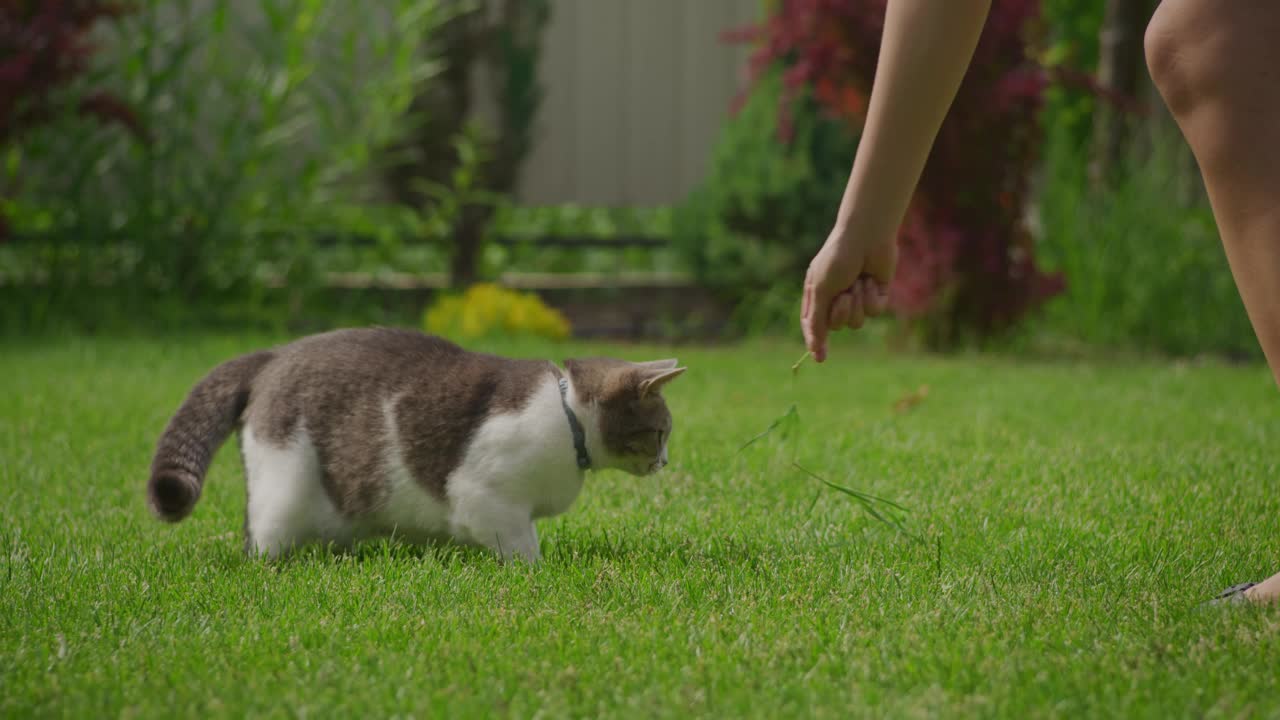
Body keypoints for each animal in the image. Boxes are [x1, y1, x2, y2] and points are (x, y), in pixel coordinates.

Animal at [145, 324, 686, 561]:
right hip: (283, 486)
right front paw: (535, 573)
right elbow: (521, 548)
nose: (665, 461)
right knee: (260, 535)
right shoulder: (486, 498)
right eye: (659, 433)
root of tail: (274, 354)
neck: (567, 412)